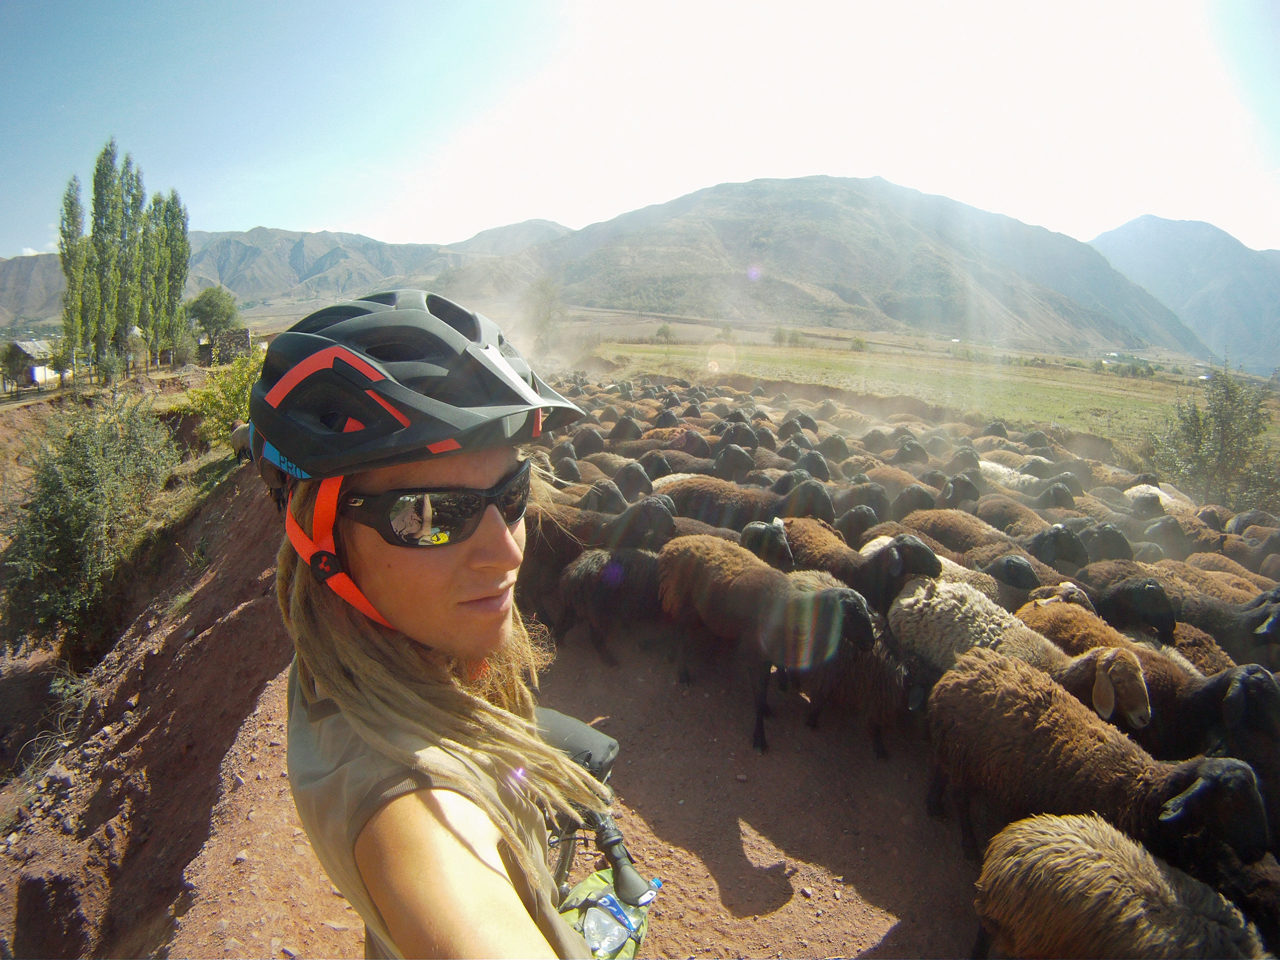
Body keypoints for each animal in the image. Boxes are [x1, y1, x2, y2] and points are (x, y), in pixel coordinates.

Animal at [660, 535, 880, 752]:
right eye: (848, 616)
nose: (870, 643)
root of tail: (676, 543)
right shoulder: (754, 654)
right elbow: (758, 694)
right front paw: (759, 737)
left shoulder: (768, 655)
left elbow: (764, 687)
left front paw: (766, 708)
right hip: (685, 601)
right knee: (680, 633)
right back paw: (682, 672)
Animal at [931, 647, 1269, 870]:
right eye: (1230, 798)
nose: (1259, 850)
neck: (1140, 791)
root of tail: (967, 663)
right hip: (961, 756)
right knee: (960, 797)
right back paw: (968, 843)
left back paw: (934, 806)